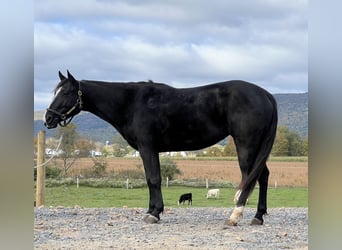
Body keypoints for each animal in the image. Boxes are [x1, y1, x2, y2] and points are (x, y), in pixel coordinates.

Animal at [43, 71, 278, 227]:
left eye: (67, 92)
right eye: (56, 91)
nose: (48, 119)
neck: (131, 103)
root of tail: (265, 94)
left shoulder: (148, 147)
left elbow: (153, 179)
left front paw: (154, 214)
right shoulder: (148, 150)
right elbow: (151, 180)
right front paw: (152, 210)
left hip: (246, 145)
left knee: (250, 177)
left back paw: (235, 215)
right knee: (263, 175)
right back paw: (258, 217)